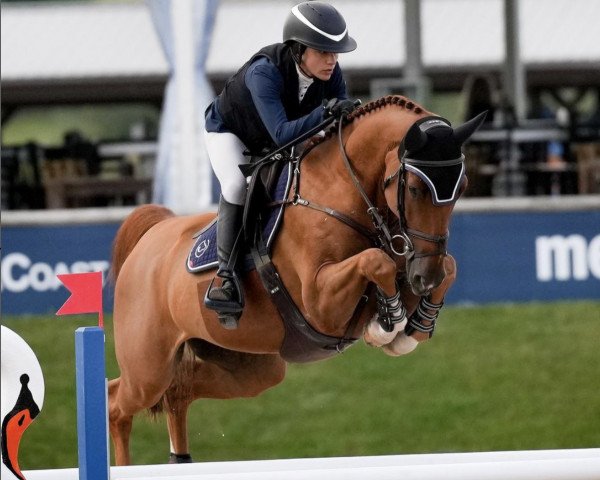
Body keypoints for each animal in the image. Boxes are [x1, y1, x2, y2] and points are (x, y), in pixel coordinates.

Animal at [105, 95, 486, 466]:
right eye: (418, 189)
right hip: (148, 368)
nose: (426, 277)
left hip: (251, 367)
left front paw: (415, 324)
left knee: (179, 392)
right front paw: (387, 321)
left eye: (462, 187)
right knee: (116, 403)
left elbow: (445, 266)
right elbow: (374, 262)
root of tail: (153, 232)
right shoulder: (320, 304)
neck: (339, 193)